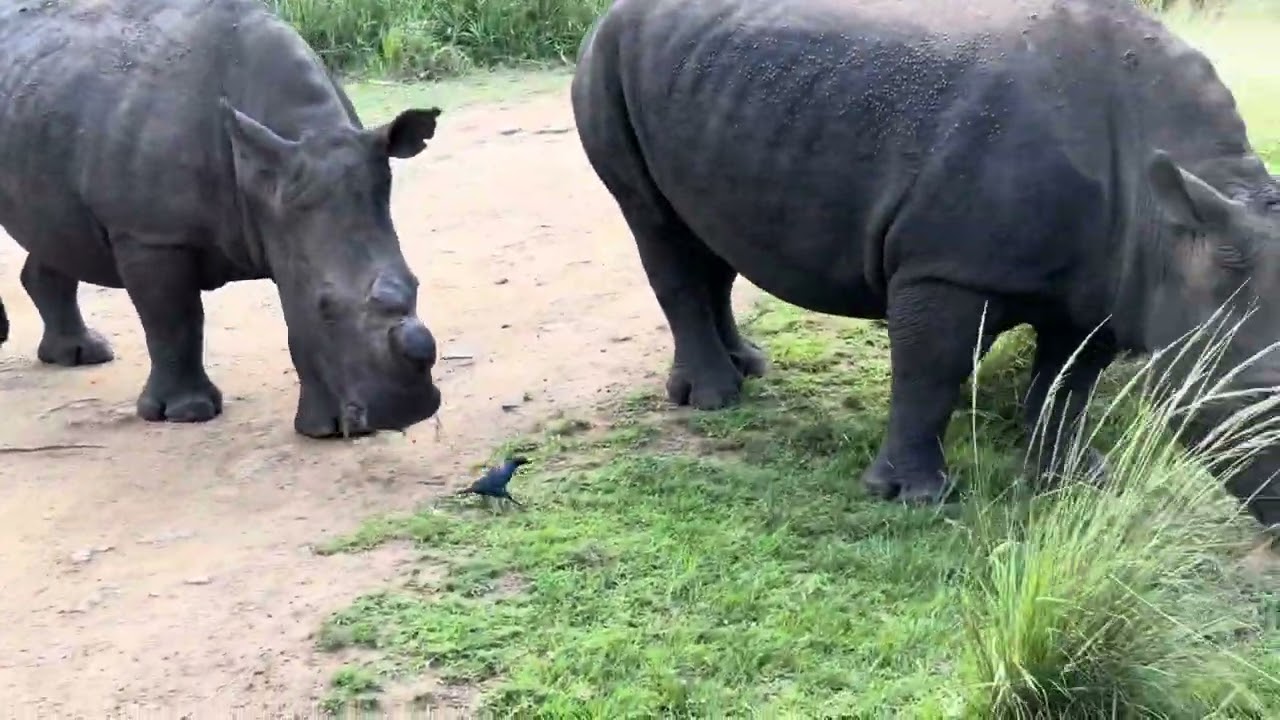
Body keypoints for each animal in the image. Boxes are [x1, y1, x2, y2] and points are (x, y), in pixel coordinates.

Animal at [0, 0, 443, 438]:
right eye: (326, 307)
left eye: (416, 284)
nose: (408, 411)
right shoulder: (150, 234)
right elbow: (174, 320)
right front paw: (187, 413)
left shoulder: (284, 217)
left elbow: (293, 317)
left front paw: (325, 431)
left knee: (53, 229)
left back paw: (80, 355)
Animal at [572, 0, 1280, 528]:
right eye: (1258, 394)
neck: (1175, 227)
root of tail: (607, 16)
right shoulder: (947, 264)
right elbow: (932, 371)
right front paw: (912, 499)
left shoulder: (1111, 281)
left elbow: (1069, 382)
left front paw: (1076, 477)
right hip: (603, 63)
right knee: (657, 225)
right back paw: (715, 401)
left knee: (707, 232)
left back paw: (749, 367)